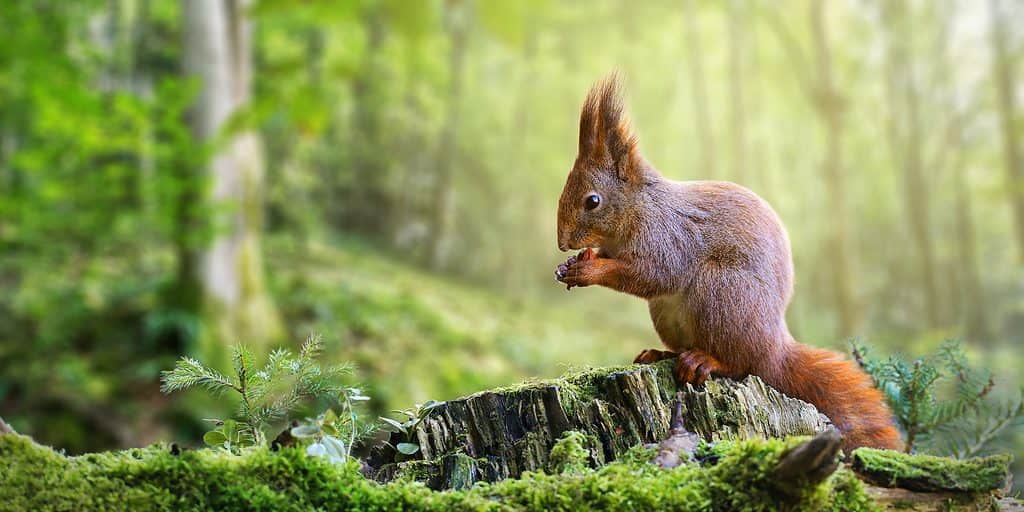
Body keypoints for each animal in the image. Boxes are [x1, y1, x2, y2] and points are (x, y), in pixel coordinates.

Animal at [554, 75, 901, 452]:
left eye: (592, 201)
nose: (562, 243)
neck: (639, 208)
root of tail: (774, 350)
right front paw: (571, 265)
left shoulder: (669, 238)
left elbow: (654, 275)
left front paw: (588, 270)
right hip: (669, 313)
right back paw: (661, 355)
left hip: (722, 292)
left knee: (740, 364)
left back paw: (705, 360)